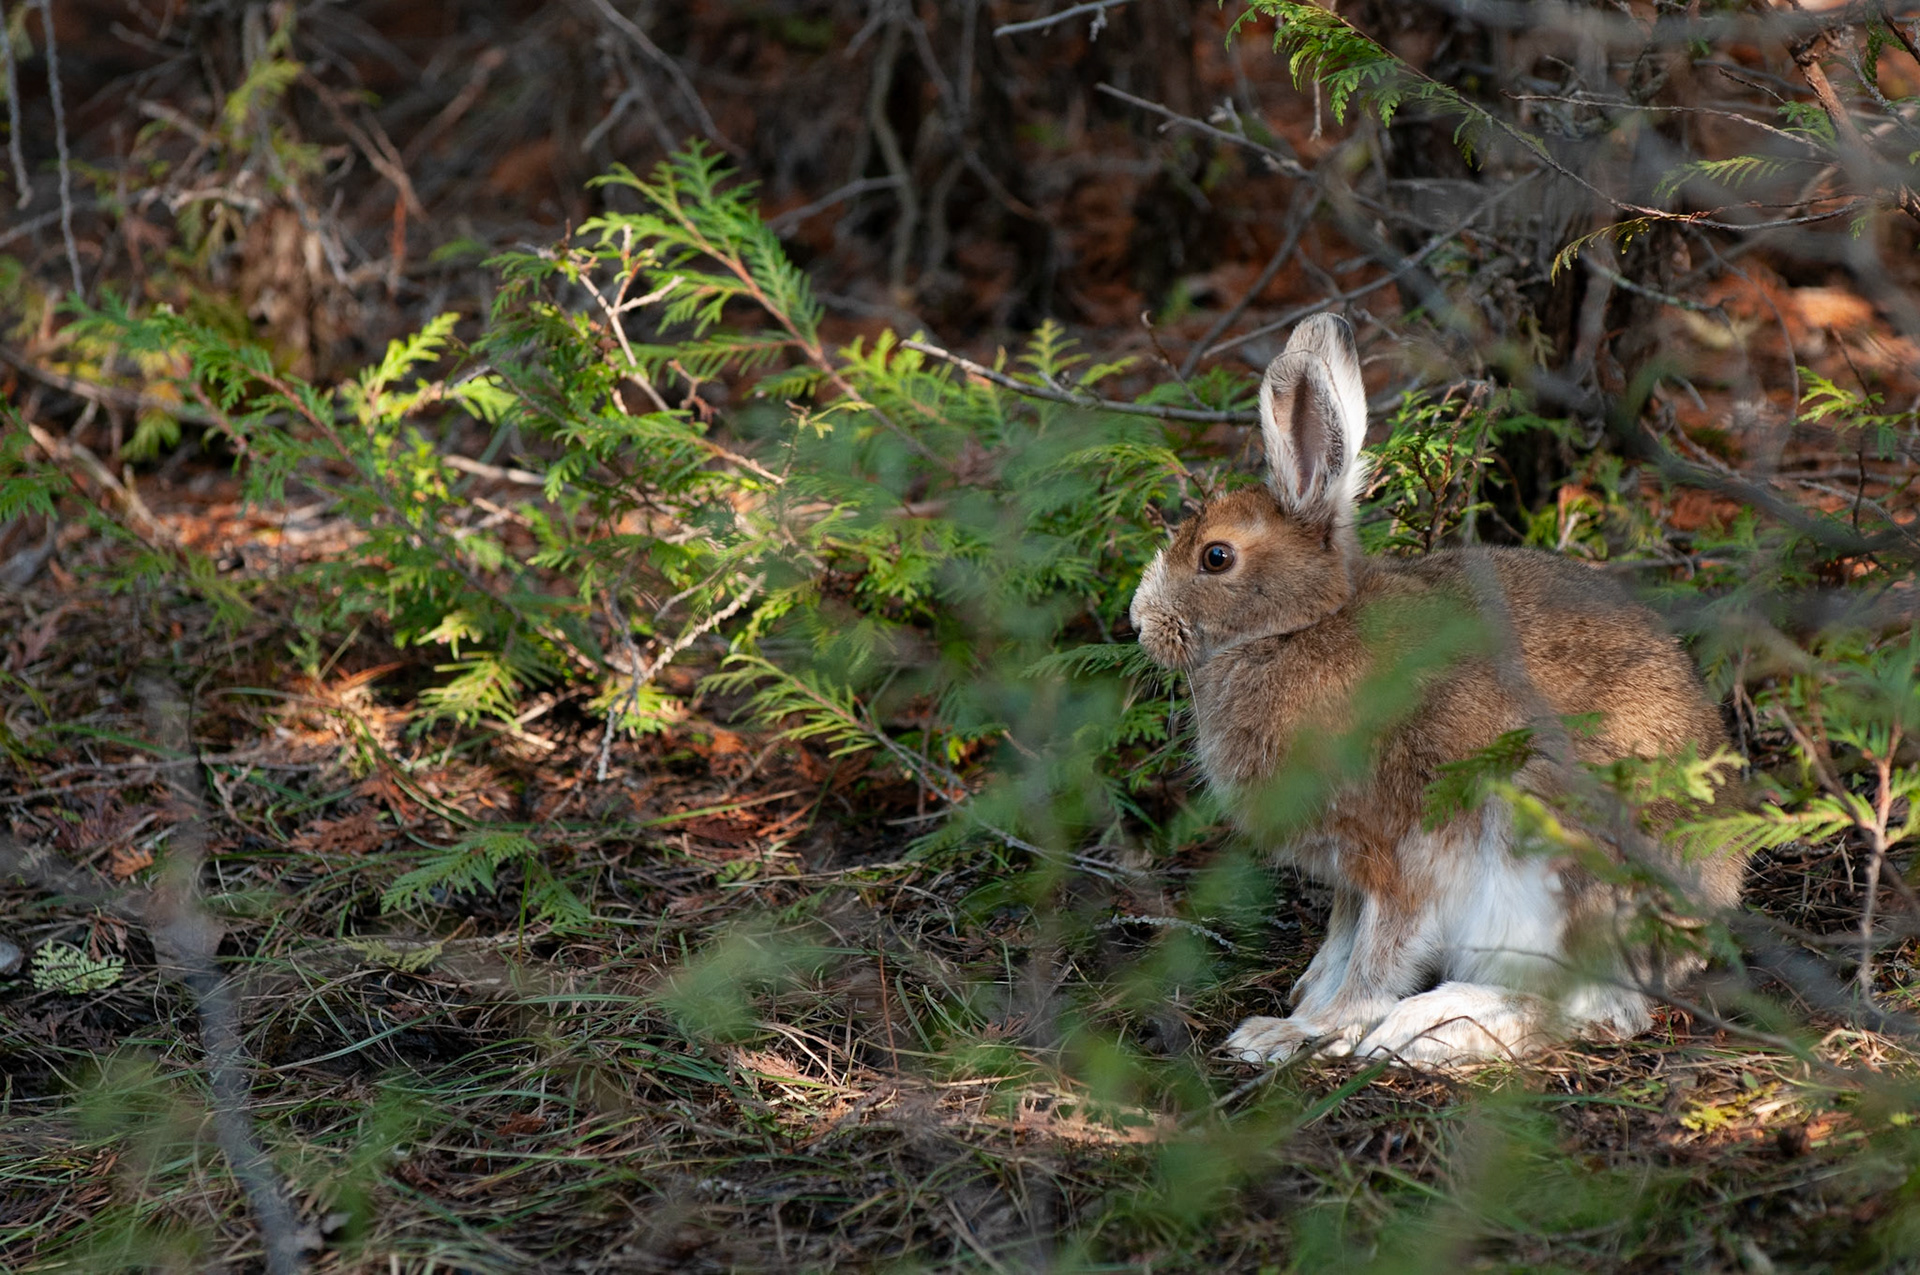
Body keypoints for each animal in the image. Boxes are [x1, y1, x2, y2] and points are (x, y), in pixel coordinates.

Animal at [1127, 313, 1745, 1066]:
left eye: (1216, 557)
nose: (1139, 622)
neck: (1303, 626)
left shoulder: (1402, 854)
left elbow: (1376, 959)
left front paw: (1313, 1032)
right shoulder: (1351, 874)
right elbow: (1340, 945)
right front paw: (1297, 1012)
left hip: (1544, 845)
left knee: (1592, 1006)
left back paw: (1429, 1028)